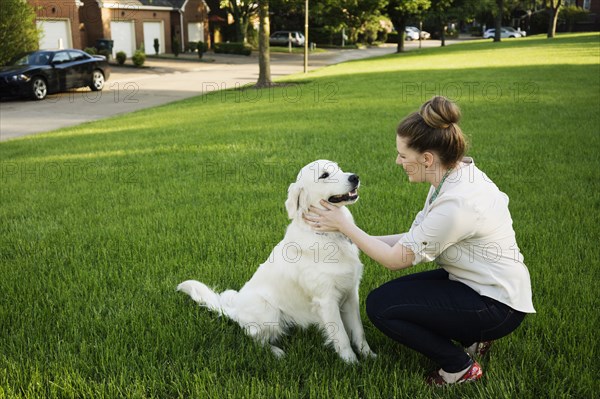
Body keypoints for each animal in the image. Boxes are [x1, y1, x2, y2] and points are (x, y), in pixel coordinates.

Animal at [178, 161, 376, 364]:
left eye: (339, 168)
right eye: (324, 175)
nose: (355, 177)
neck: (329, 235)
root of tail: (235, 311)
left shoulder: (351, 293)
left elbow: (358, 331)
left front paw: (369, 356)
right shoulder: (326, 300)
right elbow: (342, 336)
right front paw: (351, 362)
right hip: (269, 311)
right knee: (255, 339)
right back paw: (276, 352)